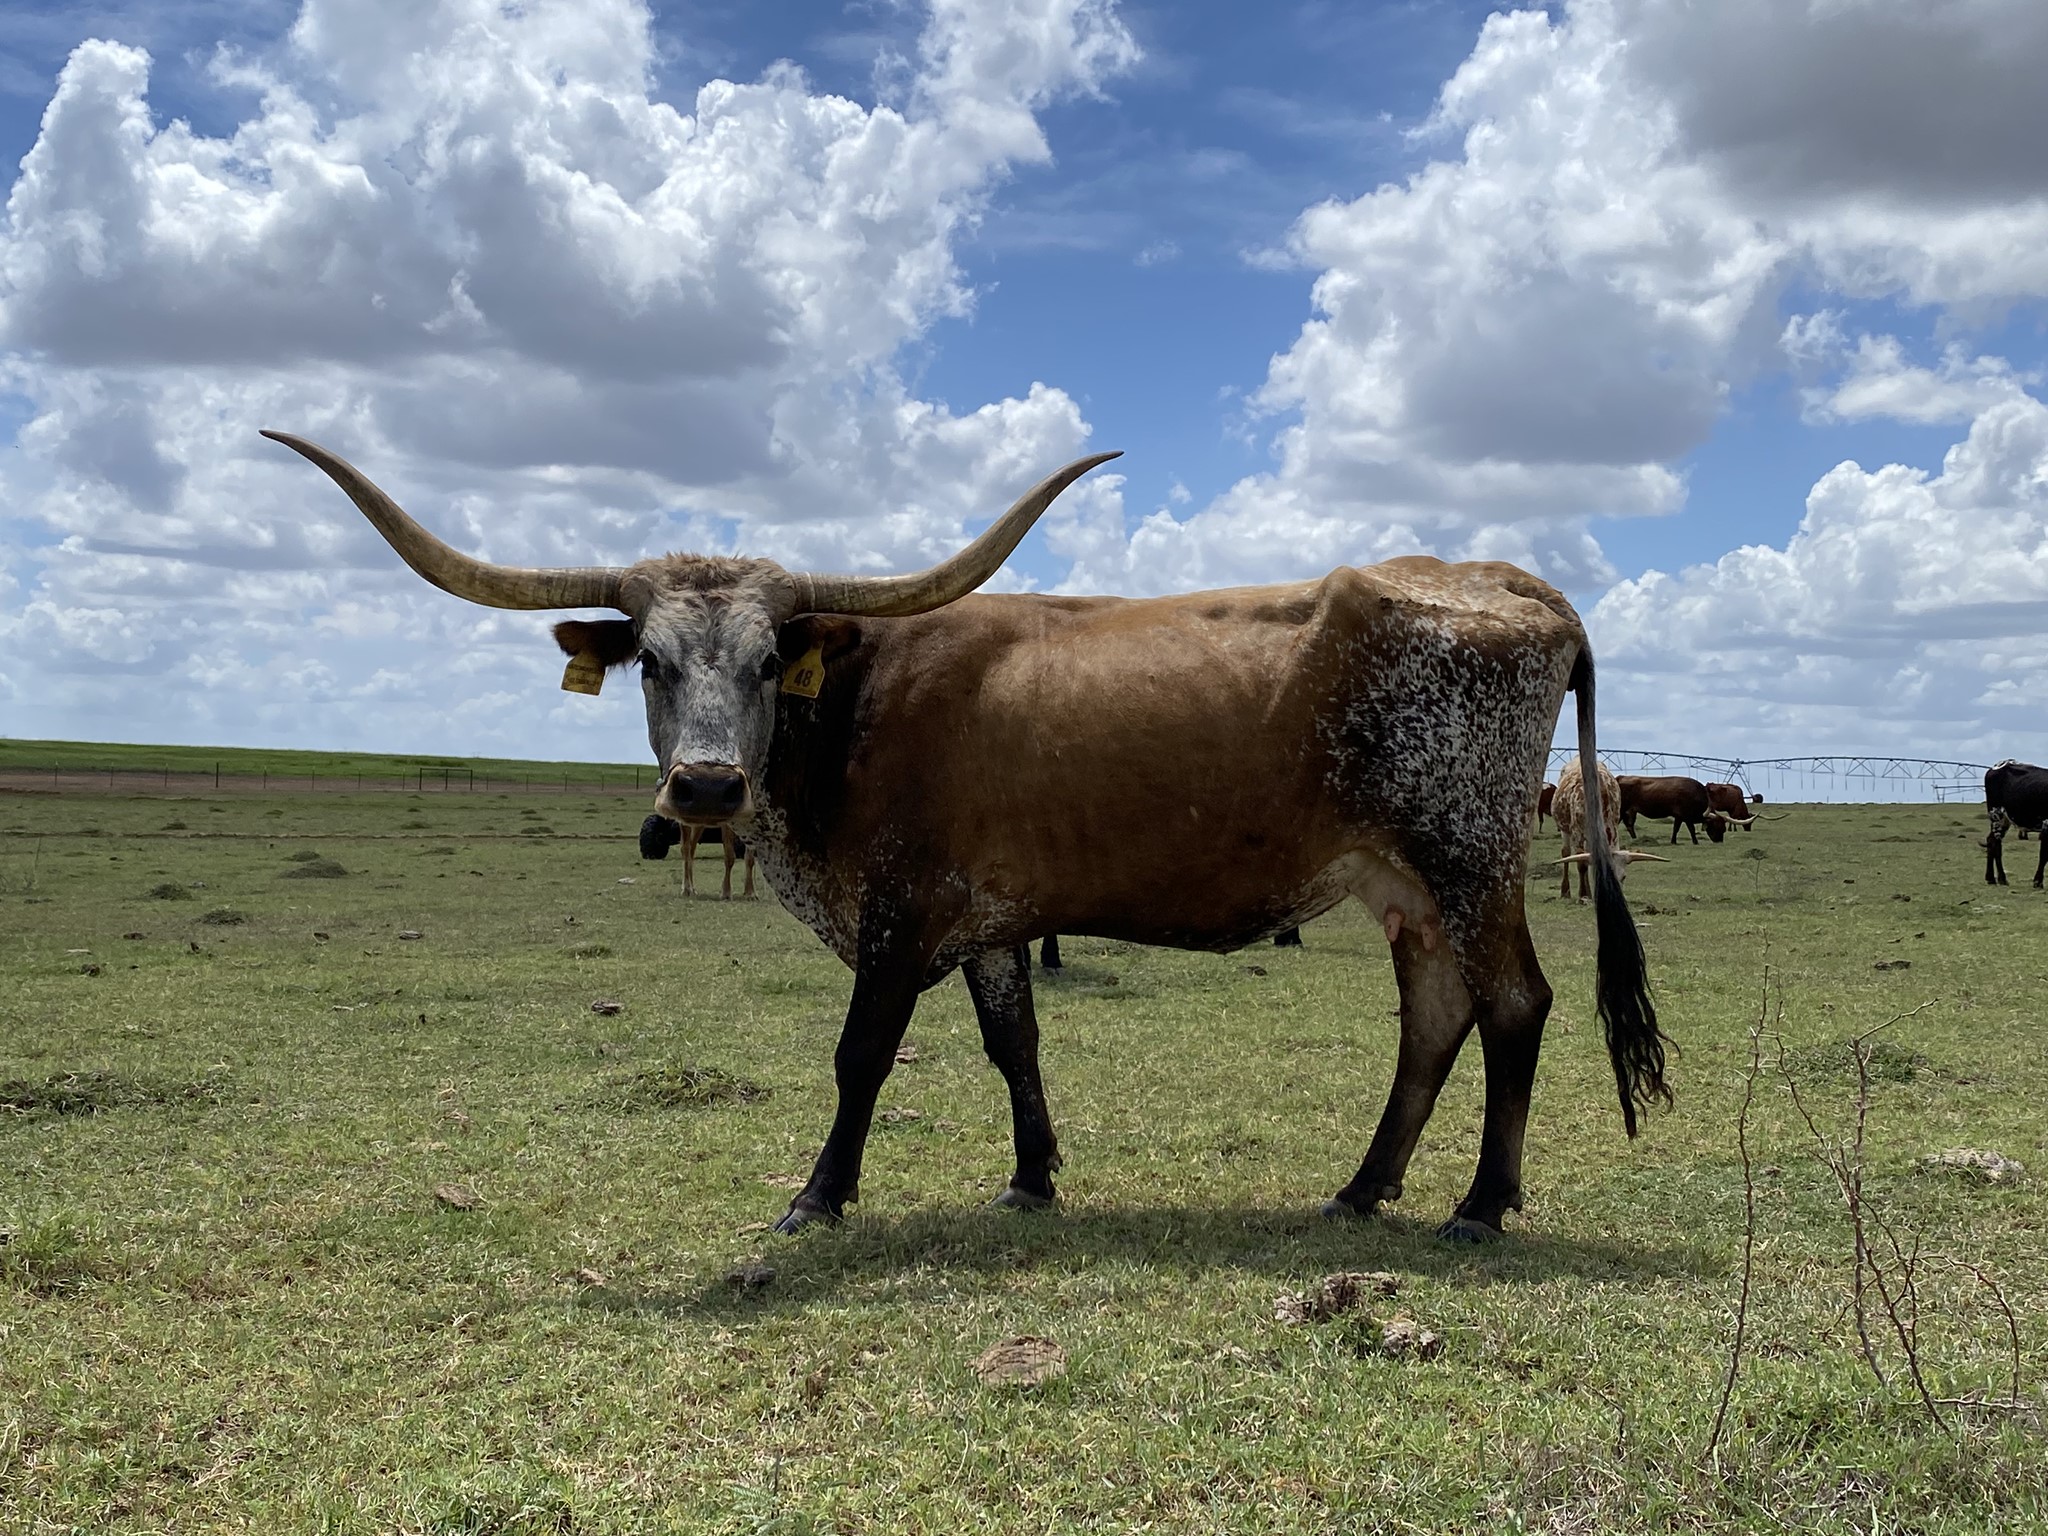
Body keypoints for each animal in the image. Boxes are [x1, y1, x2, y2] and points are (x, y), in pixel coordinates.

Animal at [1555, 759, 1664, 901]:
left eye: (1623, 877)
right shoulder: (1576, 833)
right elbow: (1581, 864)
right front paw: (1583, 895)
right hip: (1564, 828)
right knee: (1566, 853)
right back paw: (1565, 891)